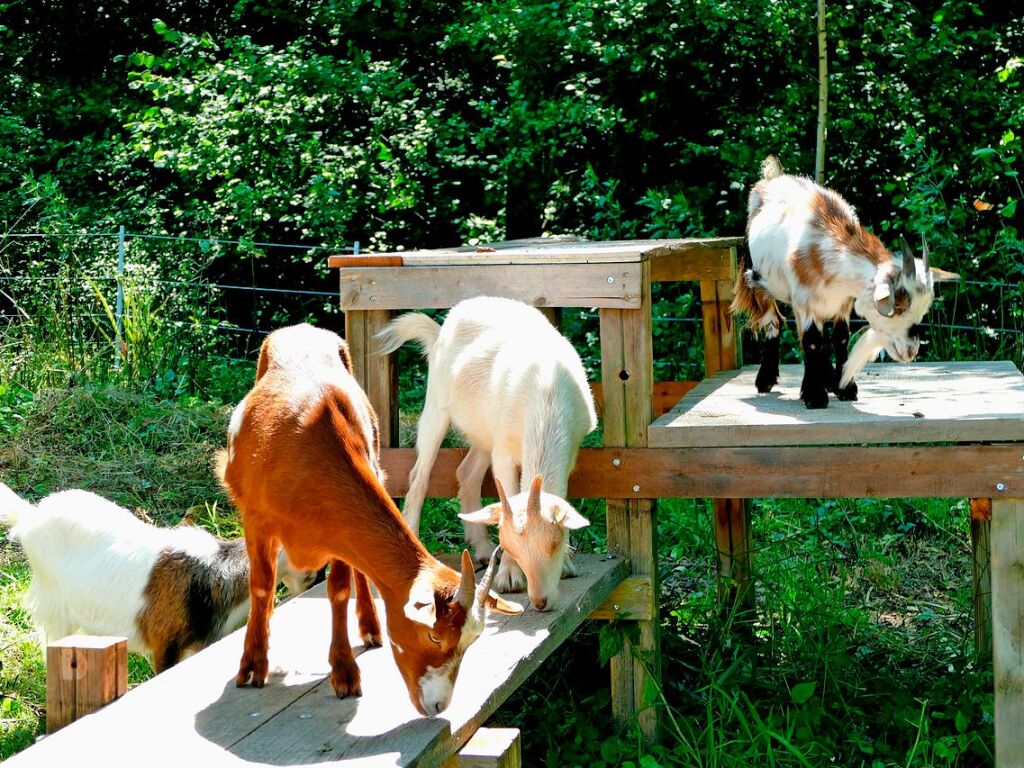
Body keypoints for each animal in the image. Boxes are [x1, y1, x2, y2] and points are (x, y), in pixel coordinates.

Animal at [216, 323, 520, 716]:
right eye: (433, 635)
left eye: (470, 641)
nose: (439, 705)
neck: (308, 458)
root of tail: (302, 328)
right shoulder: (256, 518)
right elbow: (261, 585)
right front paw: (254, 663)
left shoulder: (339, 534)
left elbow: (339, 589)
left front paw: (344, 671)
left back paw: (371, 627)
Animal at [378, 296, 598, 614]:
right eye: (509, 545)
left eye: (554, 544)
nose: (540, 601)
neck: (547, 398)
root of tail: (440, 329)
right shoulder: (504, 451)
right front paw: (509, 576)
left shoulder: (571, 449)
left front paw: (567, 564)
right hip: (436, 405)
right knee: (419, 474)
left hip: (483, 432)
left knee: (466, 472)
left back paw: (480, 549)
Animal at [729, 155, 958, 409]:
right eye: (894, 308)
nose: (910, 351)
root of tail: (771, 177)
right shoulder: (804, 300)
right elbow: (812, 341)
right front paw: (815, 395)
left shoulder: (843, 301)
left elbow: (839, 337)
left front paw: (844, 387)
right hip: (759, 279)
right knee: (773, 321)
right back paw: (766, 379)